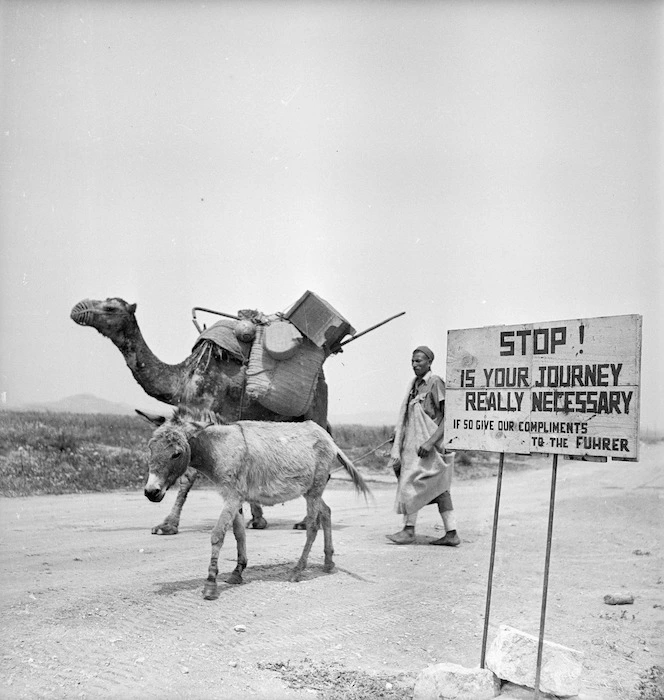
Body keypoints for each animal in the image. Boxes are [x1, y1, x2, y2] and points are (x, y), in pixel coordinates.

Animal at [69, 298, 326, 532]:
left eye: (110, 307)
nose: (78, 308)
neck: (182, 379)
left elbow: (188, 475)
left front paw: (167, 525)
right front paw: (254, 519)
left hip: (316, 409)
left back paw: (306, 522)